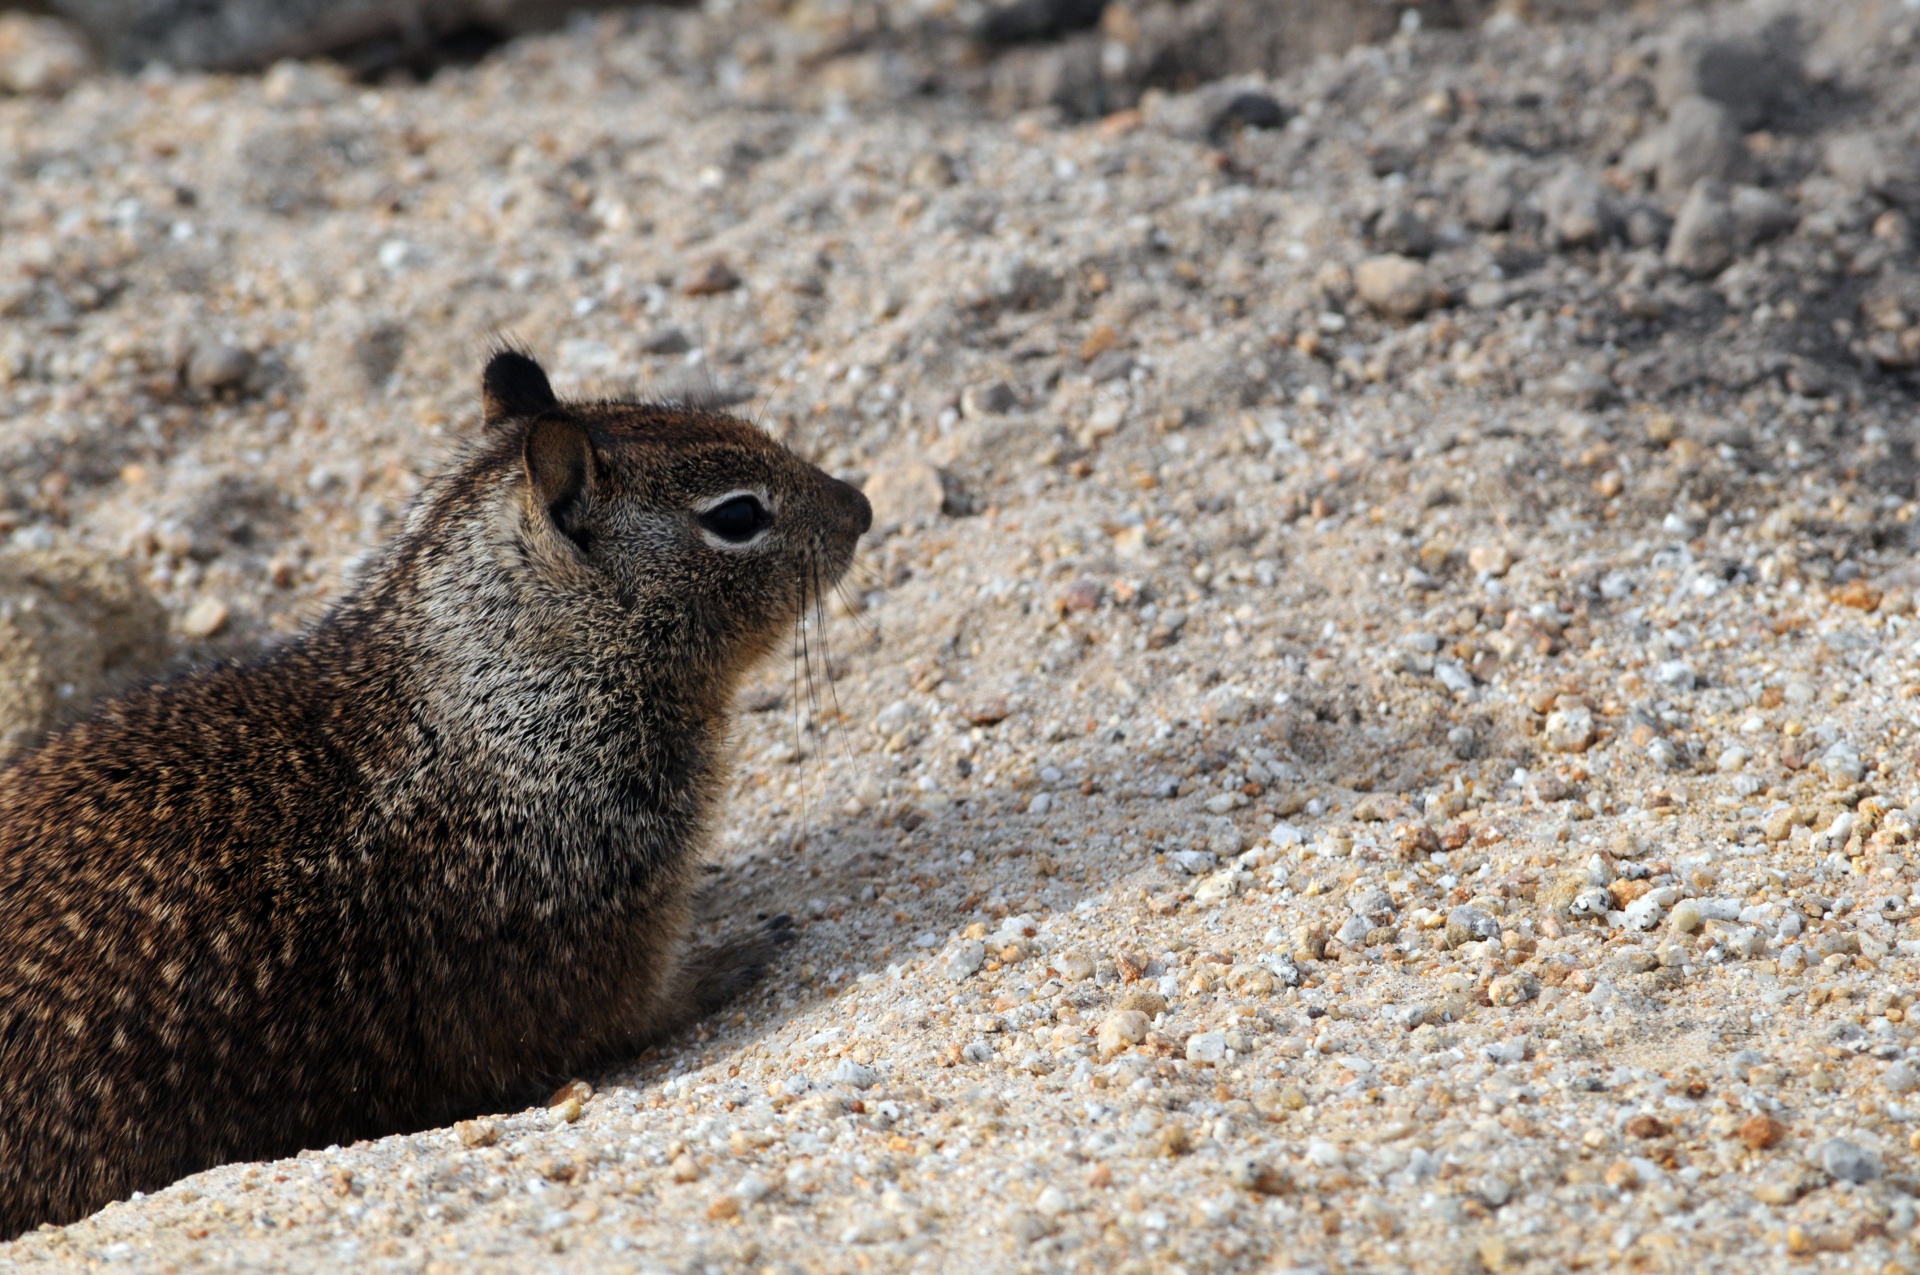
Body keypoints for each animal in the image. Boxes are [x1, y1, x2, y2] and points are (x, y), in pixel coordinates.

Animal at [0, 349, 864, 1236]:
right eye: (737, 515)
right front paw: (736, 955)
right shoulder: (589, 934)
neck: (502, 689)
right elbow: (640, 1015)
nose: (861, 507)